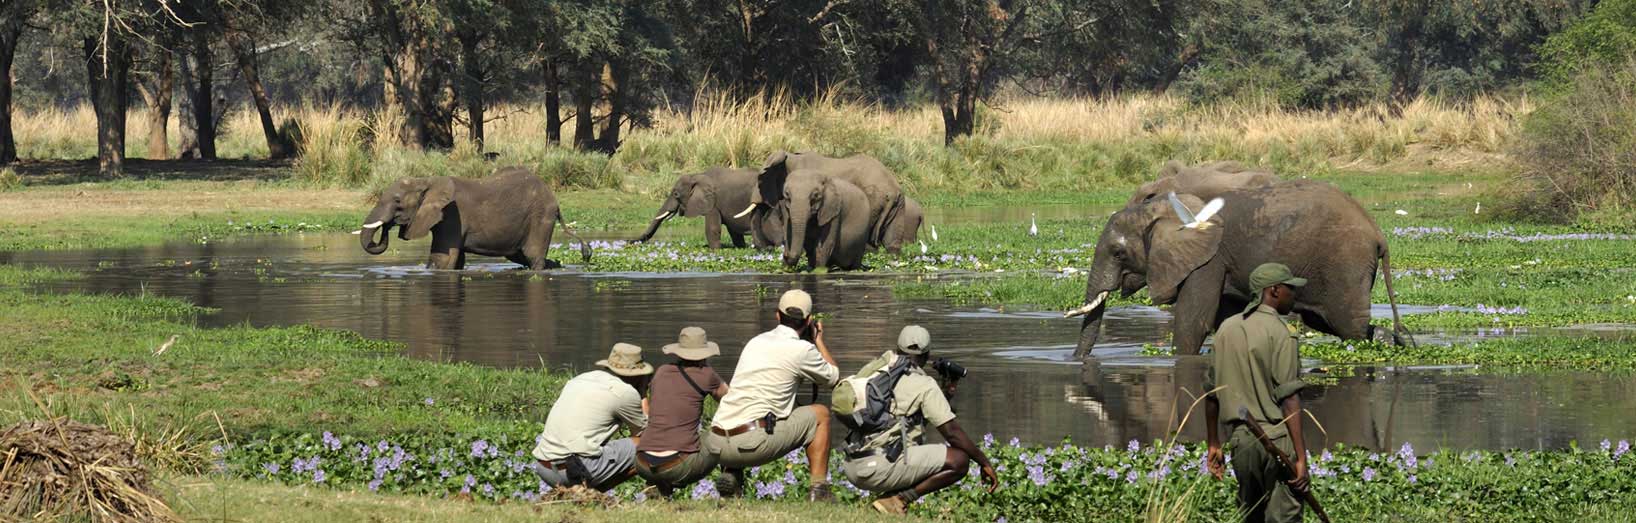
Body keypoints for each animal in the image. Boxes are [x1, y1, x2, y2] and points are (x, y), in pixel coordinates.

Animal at [358, 167, 595, 271]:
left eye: (397, 201)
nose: (387, 226)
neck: (427, 180)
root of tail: (554, 199)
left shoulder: (452, 217)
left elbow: (441, 260)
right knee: (522, 257)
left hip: (540, 216)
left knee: (533, 256)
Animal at [628, 167, 782, 248]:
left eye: (676, 194)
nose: (628, 242)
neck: (696, 176)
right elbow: (733, 230)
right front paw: (740, 247)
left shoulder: (712, 202)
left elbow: (712, 228)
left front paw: (715, 251)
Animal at [742, 150, 909, 264]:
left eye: (759, 179)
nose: (767, 249)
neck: (790, 157)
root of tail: (892, 191)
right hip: (899, 206)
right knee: (892, 242)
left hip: (873, 200)